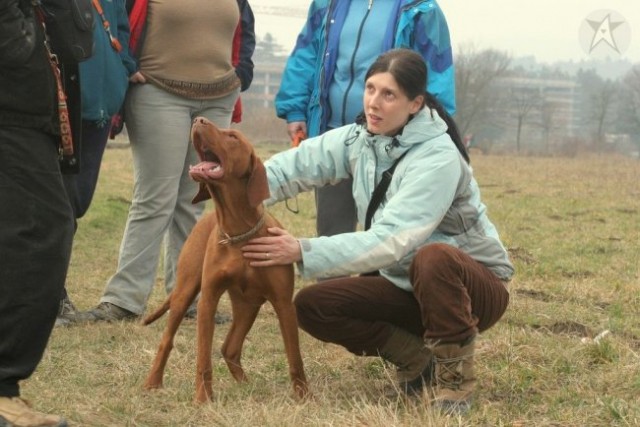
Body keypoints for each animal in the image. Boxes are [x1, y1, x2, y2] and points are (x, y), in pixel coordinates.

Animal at [142, 117, 308, 404]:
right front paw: (203, 398)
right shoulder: (207, 300)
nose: (199, 120)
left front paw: (304, 397)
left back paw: (246, 385)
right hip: (186, 292)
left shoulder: (283, 303)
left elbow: (294, 357)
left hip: (248, 304)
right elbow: (203, 358)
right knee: (168, 340)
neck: (238, 232)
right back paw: (152, 382)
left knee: (230, 347)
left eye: (232, 137)